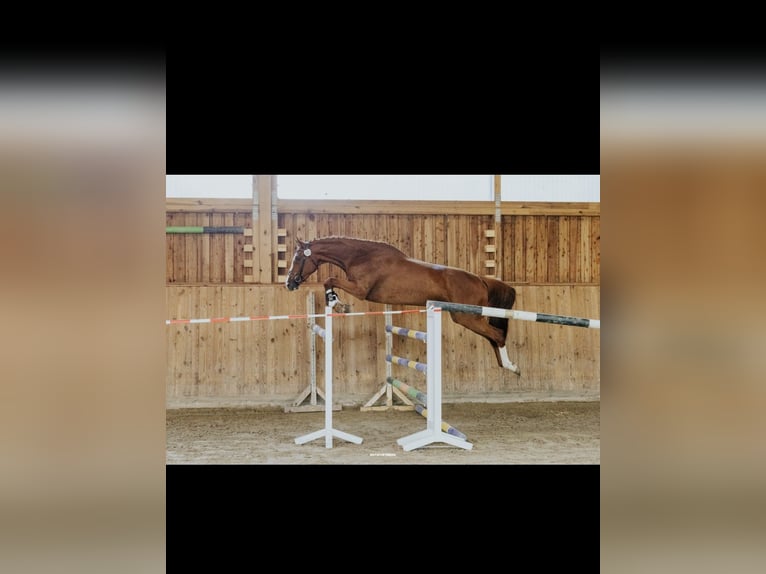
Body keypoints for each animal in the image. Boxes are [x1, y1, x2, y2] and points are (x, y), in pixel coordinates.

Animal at [285, 236, 521, 375]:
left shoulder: (361, 290)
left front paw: (338, 304)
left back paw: (512, 366)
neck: (361, 256)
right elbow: (329, 281)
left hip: (467, 317)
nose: (289, 283)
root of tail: (481, 280)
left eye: (297, 258)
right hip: (466, 316)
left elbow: (330, 280)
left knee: (497, 335)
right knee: (493, 336)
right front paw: (335, 302)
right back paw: (506, 366)